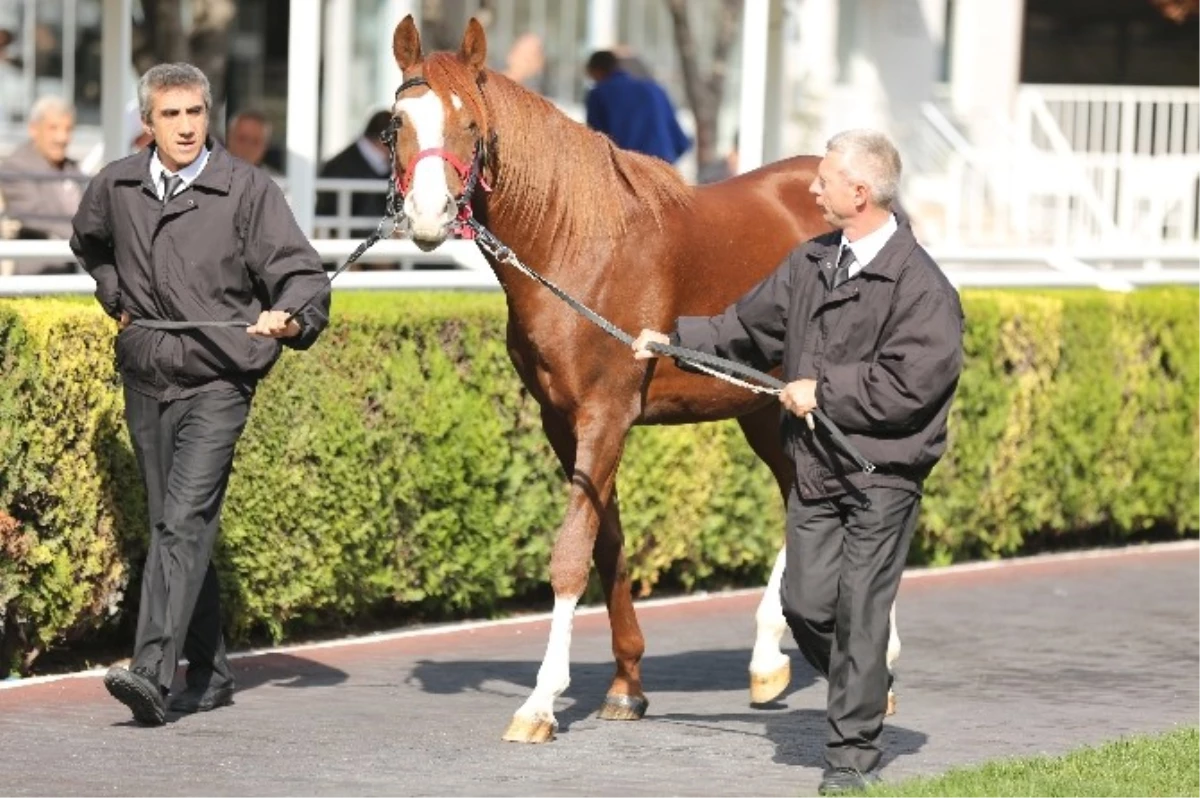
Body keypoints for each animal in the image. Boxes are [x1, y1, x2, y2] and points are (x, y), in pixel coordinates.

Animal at [384, 18, 902, 739]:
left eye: (470, 123)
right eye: (396, 122)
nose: (429, 214)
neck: (575, 240)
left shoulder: (607, 417)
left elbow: (572, 551)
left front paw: (540, 702)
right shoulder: (564, 423)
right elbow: (609, 545)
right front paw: (627, 685)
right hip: (767, 411)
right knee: (801, 494)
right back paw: (770, 658)